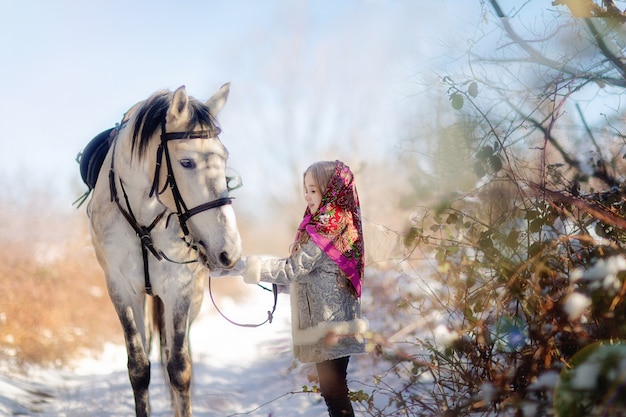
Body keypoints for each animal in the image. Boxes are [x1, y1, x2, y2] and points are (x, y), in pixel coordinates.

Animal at [86, 83, 243, 414]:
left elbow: (179, 368)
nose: (230, 252)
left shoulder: (179, 289)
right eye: (186, 162)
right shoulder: (120, 289)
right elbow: (138, 367)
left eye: (224, 158)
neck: (144, 221)